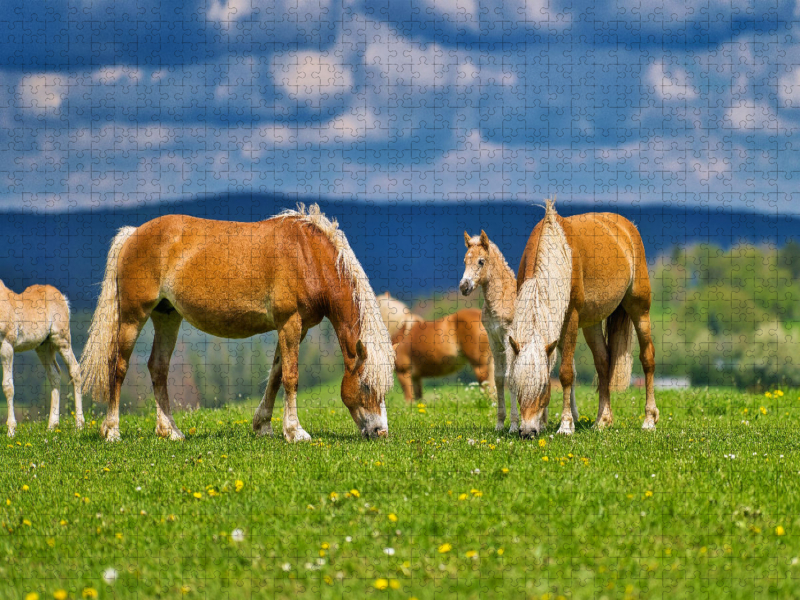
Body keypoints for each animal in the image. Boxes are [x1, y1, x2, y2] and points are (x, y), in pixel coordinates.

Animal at [0, 278, 83, 438]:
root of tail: (62, 297)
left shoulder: (7, 345)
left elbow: (8, 386)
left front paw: (11, 431)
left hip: (61, 339)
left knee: (75, 370)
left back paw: (79, 425)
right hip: (43, 346)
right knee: (55, 375)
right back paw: (52, 426)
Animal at [81, 204, 394, 442]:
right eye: (367, 386)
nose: (380, 432)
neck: (308, 256)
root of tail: (133, 234)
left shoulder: (297, 328)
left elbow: (277, 374)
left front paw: (263, 425)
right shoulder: (289, 323)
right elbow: (291, 377)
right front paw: (295, 432)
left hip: (167, 317)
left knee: (158, 367)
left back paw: (170, 431)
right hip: (133, 317)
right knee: (118, 366)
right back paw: (112, 431)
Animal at [506, 199, 656, 438]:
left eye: (545, 386)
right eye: (517, 384)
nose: (527, 432)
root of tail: (627, 227)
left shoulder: (571, 320)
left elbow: (566, 373)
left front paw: (566, 425)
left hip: (640, 310)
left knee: (647, 358)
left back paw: (649, 420)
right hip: (592, 324)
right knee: (604, 363)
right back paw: (602, 420)